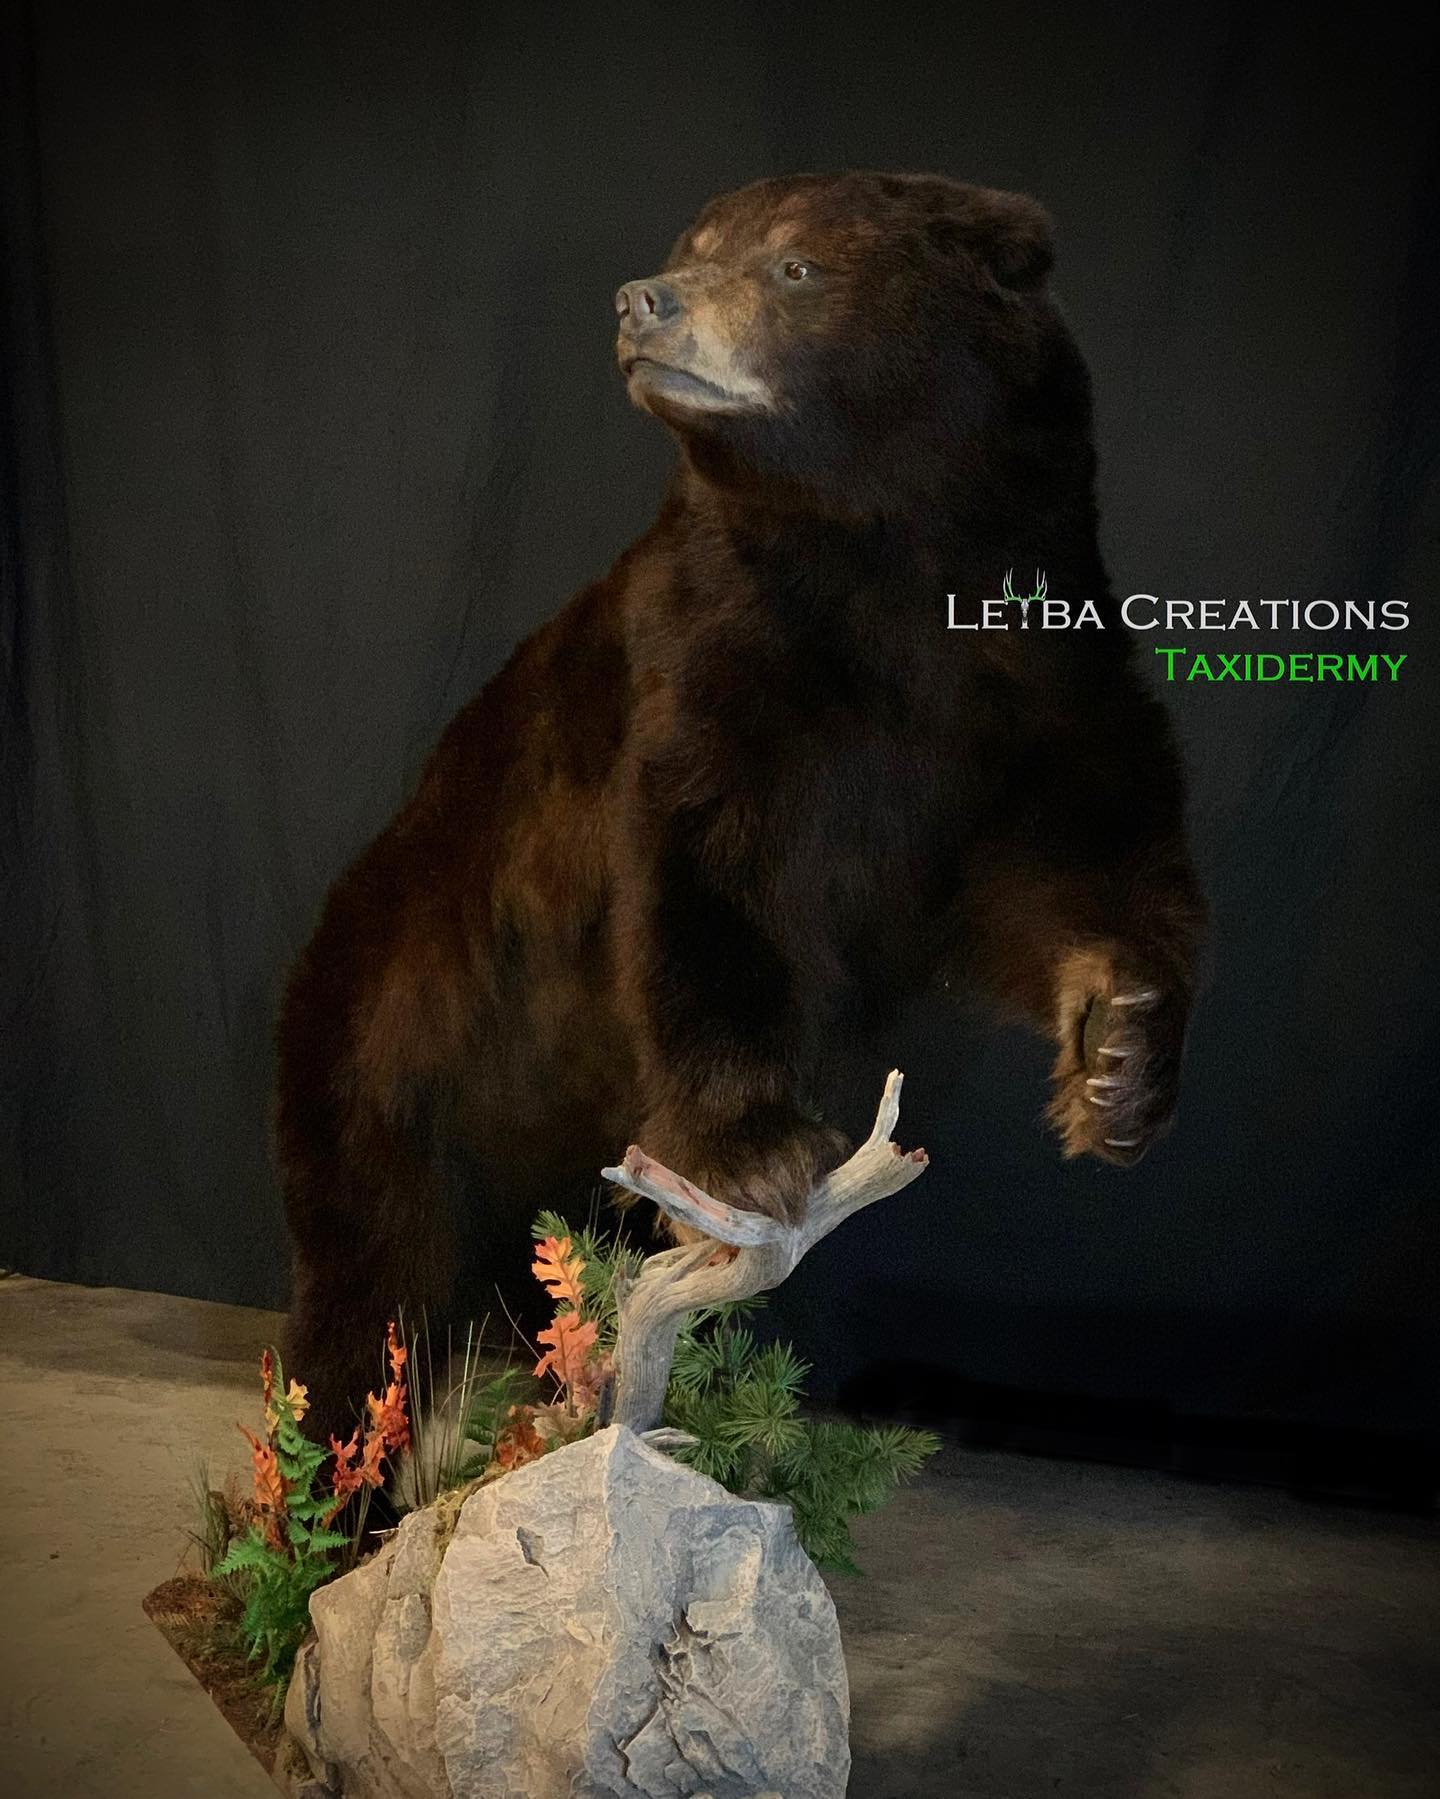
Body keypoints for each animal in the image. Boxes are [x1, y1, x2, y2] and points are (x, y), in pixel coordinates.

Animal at [273, 171, 1204, 1444]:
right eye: (697, 243)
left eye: (795, 265)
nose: (642, 300)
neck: (887, 564)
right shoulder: (721, 658)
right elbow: (709, 872)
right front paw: (753, 1148)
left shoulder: (1033, 677)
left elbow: (1077, 853)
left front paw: (1118, 1056)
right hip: (398, 1041)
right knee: (374, 1275)